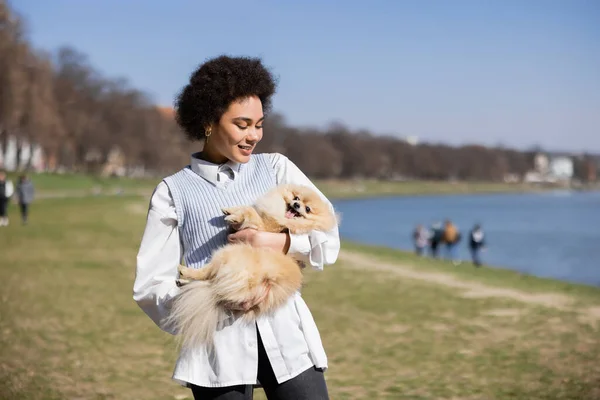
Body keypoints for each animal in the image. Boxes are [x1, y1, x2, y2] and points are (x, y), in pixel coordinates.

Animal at [166, 184, 338, 350]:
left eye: (307, 209)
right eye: (296, 198)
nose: (296, 205)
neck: (283, 217)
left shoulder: (262, 227)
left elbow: (250, 212)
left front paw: (233, 216)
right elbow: (247, 209)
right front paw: (230, 210)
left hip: (227, 254)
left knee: (207, 275)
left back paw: (184, 272)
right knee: (209, 278)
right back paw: (183, 282)